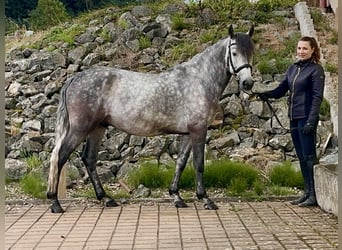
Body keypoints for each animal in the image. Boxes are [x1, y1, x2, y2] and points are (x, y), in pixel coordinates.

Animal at [46, 23, 254, 212]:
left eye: (251, 52)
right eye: (234, 53)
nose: (247, 83)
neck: (200, 81)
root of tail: (75, 78)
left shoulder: (188, 133)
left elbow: (181, 162)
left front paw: (176, 197)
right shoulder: (198, 130)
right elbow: (199, 164)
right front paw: (205, 199)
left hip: (98, 128)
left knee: (88, 159)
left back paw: (106, 198)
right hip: (80, 128)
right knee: (61, 156)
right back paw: (55, 203)